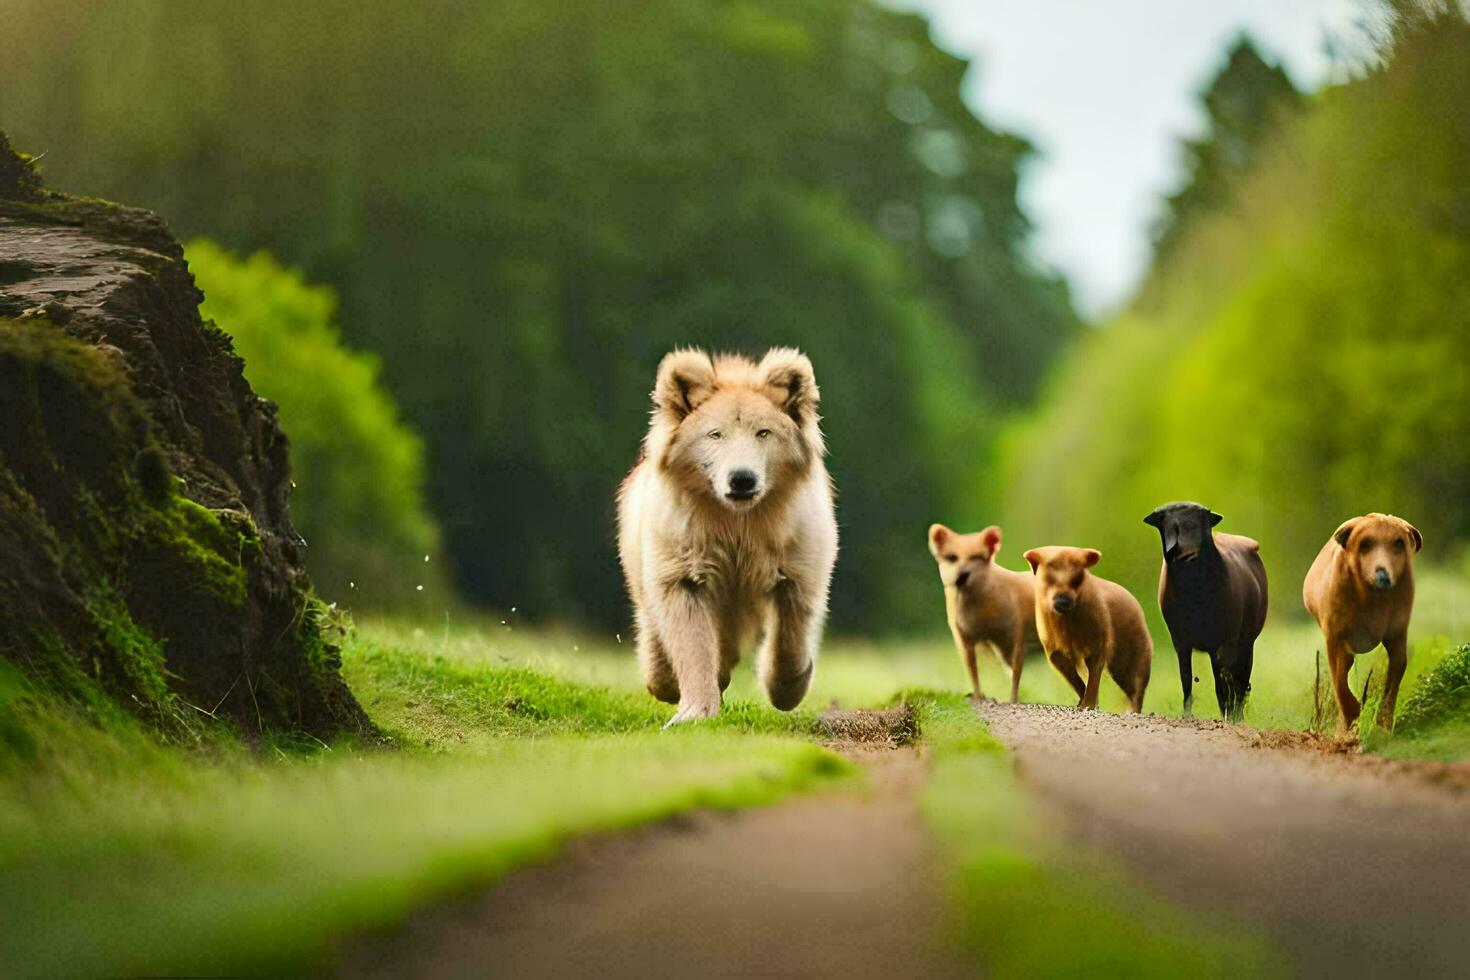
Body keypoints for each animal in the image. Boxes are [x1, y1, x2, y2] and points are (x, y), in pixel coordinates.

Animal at [614, 348, 840, 725]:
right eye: (714, 434)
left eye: (764, 432)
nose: (742, 479)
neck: (737, 522)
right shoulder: (685, 551)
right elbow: (689, 631)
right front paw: (693, 710)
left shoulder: (793, 547)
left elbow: (793, 619)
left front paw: (787, 686)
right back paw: (665, 679)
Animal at [923, 525, 1040, 702]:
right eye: (952, 557)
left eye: (976, 557)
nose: (962, 575)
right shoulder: (965, 640)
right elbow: (974, 674)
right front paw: (978, 696)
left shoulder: (1017, 638)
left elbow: (1015, 678)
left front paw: (1012, 701)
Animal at [1023, 543, 1146, 714]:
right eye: (1047, 576)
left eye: (1078, 575)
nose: (1063, 600)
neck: (1068, 625)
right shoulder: (1053, 649)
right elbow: (1073, 676)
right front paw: (1083, 704)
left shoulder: (1098, 644)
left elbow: (1093, 677)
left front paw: (1089, 705)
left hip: (1132, 654)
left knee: (1136, 687)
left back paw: (1131, 711)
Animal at [1140, 502, 1270, 717]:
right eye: (1169, 524)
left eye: (1198, 523)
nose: (1185, 552)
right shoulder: (1181, 642)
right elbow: (1187, 681)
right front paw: (1187, 714)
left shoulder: (1224, 643)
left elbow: (1224, 684)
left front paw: (1228, 714)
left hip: (1246, 642)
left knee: (1239, 680)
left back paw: (1236, 713)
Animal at [1305, 514, 1417, 734]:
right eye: (1365, 544)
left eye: (1398, 542)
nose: (1382, 574)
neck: (1373, 599)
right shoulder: (1336, 639)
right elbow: (1340, 684)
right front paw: (1354, 717)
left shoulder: (1397, 633)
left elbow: (1395, 674)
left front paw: (1382, 725)